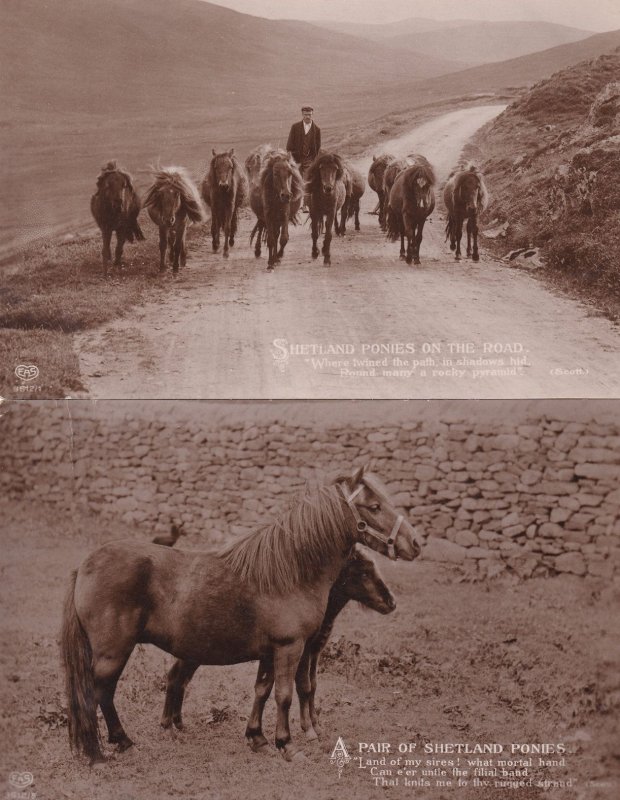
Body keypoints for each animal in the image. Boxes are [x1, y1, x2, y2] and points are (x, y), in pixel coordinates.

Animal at [163, 548, 398, 748]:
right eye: (364, 572)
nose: (391, 602)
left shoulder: (313, 650)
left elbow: (311, 685)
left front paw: (315, 725)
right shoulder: (301, 650)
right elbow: (304, 686)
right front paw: (309, 730)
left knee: (179, 678)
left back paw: (178, 722)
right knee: (176, 677)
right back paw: (172, 725)